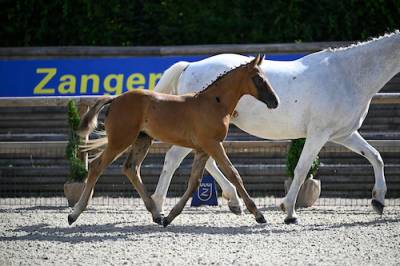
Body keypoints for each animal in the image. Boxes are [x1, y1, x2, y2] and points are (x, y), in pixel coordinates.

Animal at [68, 54, 278, 227]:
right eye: (258, 78)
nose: (275, 101)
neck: (213, 102)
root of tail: (116, 98)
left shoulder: (202, 149)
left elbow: (194, 182)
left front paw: (170, 217)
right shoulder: (213, 144)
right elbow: (233, 174)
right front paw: (258, 215)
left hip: (142, 140)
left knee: (131, 168)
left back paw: (156, 214)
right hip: (120, 140)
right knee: (96, 166)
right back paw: (74, 214)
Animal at [151, 31, 400, 223]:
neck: (346, 75)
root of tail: (189, 66)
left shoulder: (344, 134)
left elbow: (376, 156)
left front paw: (378, 201)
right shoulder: (319, 134)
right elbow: (301, 169)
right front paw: (289, 212)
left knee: (204, 160)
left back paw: (233, 203)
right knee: (174, 158)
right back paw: (159, 208)